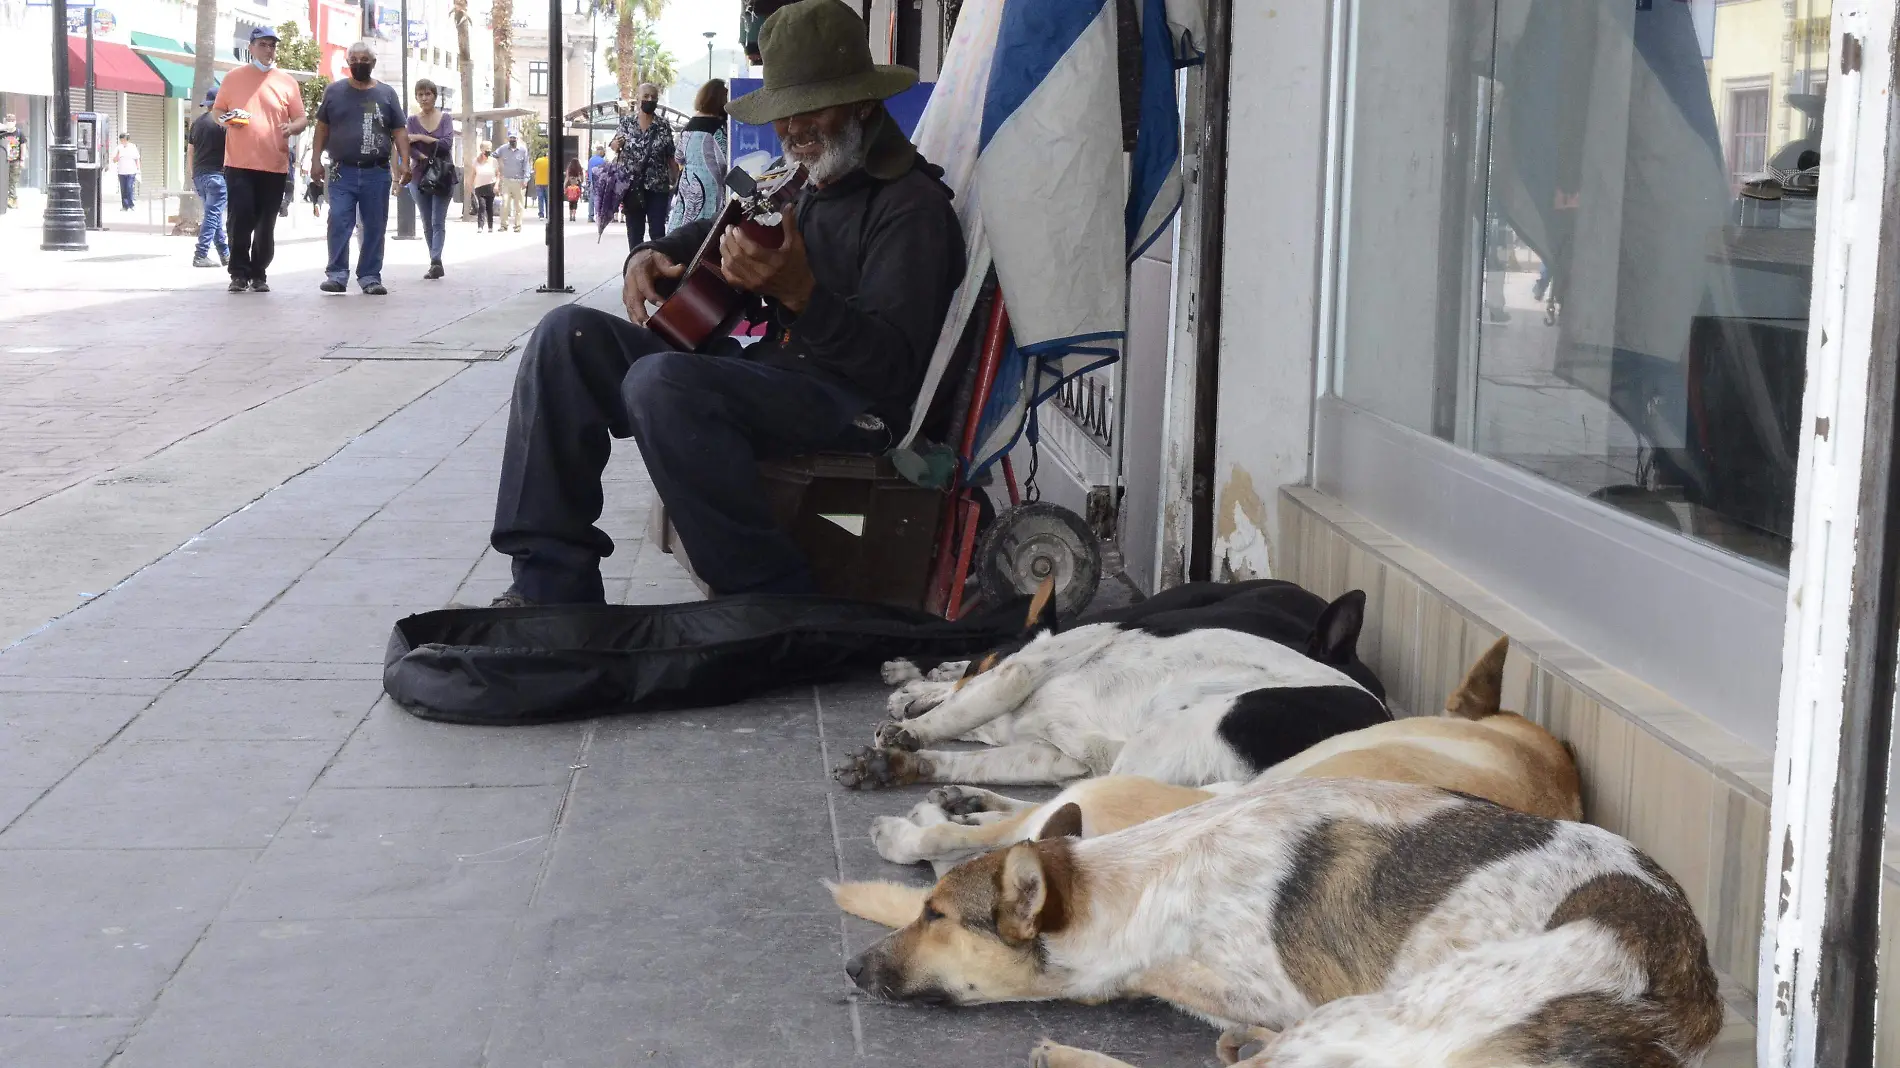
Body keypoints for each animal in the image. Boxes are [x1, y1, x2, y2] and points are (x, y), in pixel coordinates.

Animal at [832, 577, 1383, 786]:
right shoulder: (1051, 755)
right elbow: (974, 755)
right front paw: (902, 758)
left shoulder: (1019, 674)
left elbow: (963, 709)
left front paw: (910, 733)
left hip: (1166, 740)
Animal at [855, 630, 1580, 874]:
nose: (900, 684)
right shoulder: (1051, 750)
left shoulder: (1027, 672)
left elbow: (962, 706)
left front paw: (911, 726)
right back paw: (957, 794)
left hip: (1170, 737)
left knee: (1066, 818)